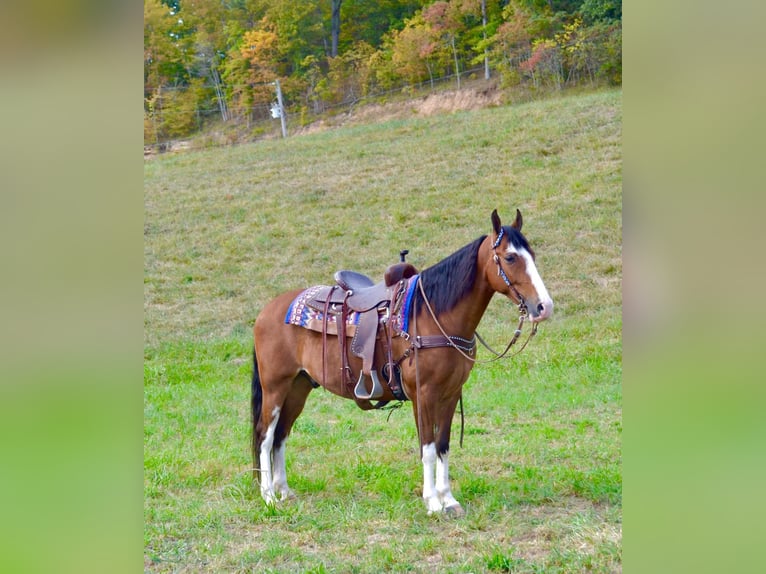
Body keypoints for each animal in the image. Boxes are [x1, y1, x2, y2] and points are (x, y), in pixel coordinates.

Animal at [255, 209, 556, 516]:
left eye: (532, 254)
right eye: (510, 257)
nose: (544, 307)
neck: (435, 315)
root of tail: (268, 310)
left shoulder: (451, 394)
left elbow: (443, 445)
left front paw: (449, 499)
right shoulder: (424, 394)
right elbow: (427, 448)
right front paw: (432, 502)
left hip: (299, 386)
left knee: (281, 435)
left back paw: (284, 491)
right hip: (275, 387)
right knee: (265, 435)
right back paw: (268, 496)